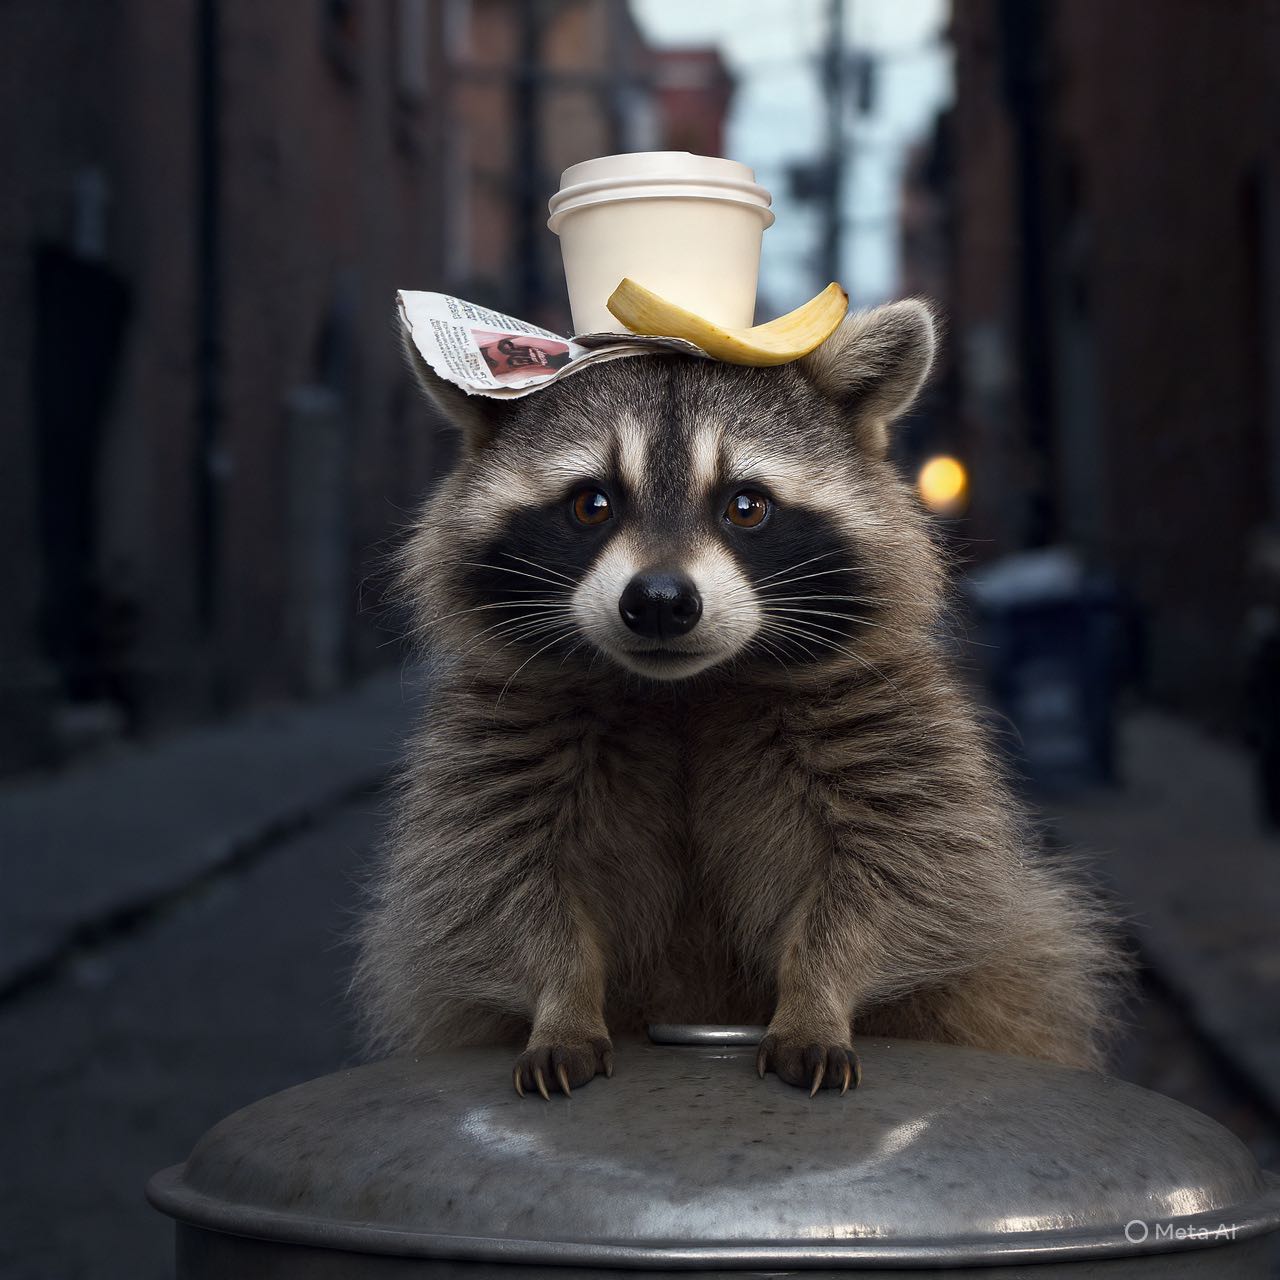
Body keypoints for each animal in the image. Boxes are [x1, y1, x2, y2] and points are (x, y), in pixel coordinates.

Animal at [355, 300, 1125, 1098]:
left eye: (746, 506)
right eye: (592, 505)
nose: (659, 603)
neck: (685, 690)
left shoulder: (885, 727)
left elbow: (901, 879)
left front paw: (816, 996)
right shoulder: (506, 740)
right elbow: (499, 888)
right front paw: (562, 1002)